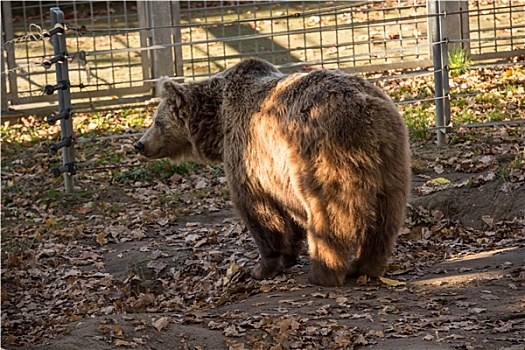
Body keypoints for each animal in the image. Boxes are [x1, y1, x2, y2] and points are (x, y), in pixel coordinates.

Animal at [134, 58, 410, 288]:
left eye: (156, 121)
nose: (139, 144)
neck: (218, 122)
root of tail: (362, 110)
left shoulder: (248, 156)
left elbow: (259, 212)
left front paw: (261, 268)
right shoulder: (278, 174)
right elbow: (290, 214)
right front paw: (288, 256)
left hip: (321, 154)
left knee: (329, 214)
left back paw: (323, 273)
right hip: (391, 158)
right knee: (386, 216)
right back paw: (365, 266)